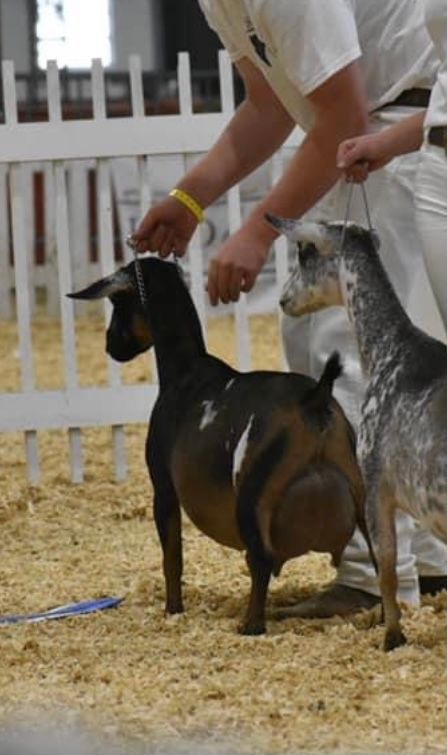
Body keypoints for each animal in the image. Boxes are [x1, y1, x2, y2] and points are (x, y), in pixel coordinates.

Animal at [69, 256, 374, 635]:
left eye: (117, 303)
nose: (111, 346)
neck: (186, 369)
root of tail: (316, 398)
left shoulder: (164, 490)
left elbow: (172, 558)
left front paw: (173, 610)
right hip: (360, 492)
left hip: (253, 499)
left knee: (261, 559)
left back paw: (250, 625)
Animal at [269, 214, 447, 650]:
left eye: (304, 252)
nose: (282, 300)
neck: (393, 350)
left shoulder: (376, 484)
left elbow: (387, 565)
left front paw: (393, 635)